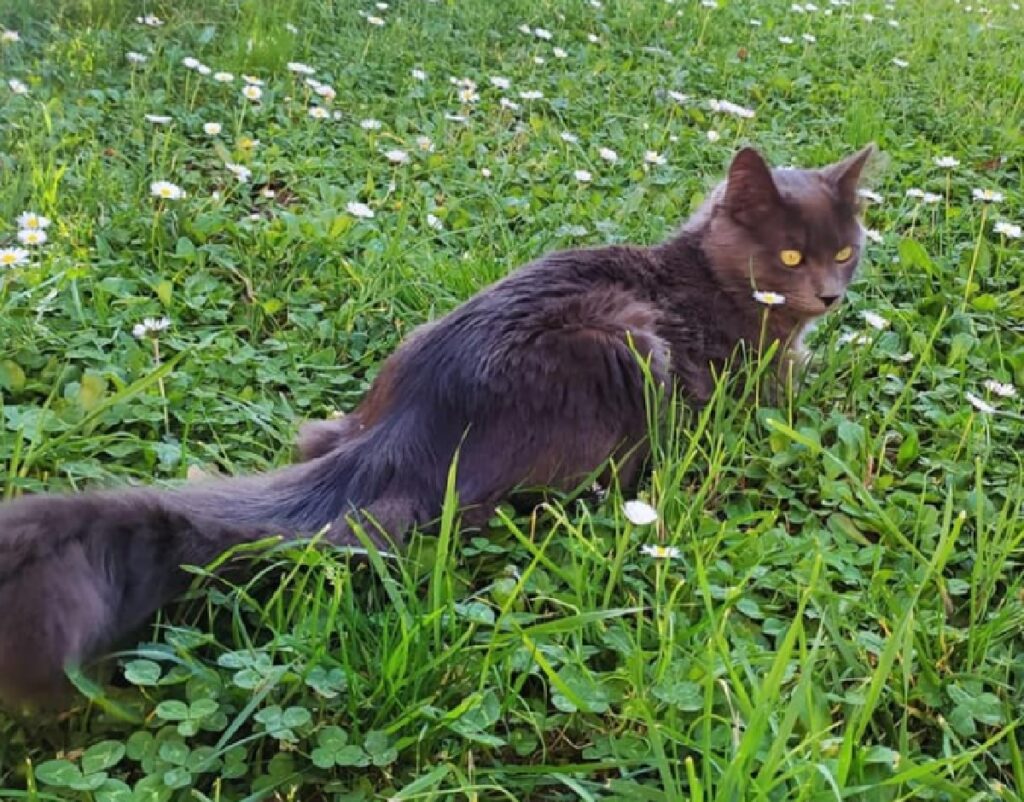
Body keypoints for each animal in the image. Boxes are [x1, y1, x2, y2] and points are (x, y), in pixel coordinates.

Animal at [0, 144, 872, 704]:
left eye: (846, 251)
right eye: (791, 259)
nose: (832, 296)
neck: (705, 274)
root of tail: (401, 435)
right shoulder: (754, 386)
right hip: (627, 350)